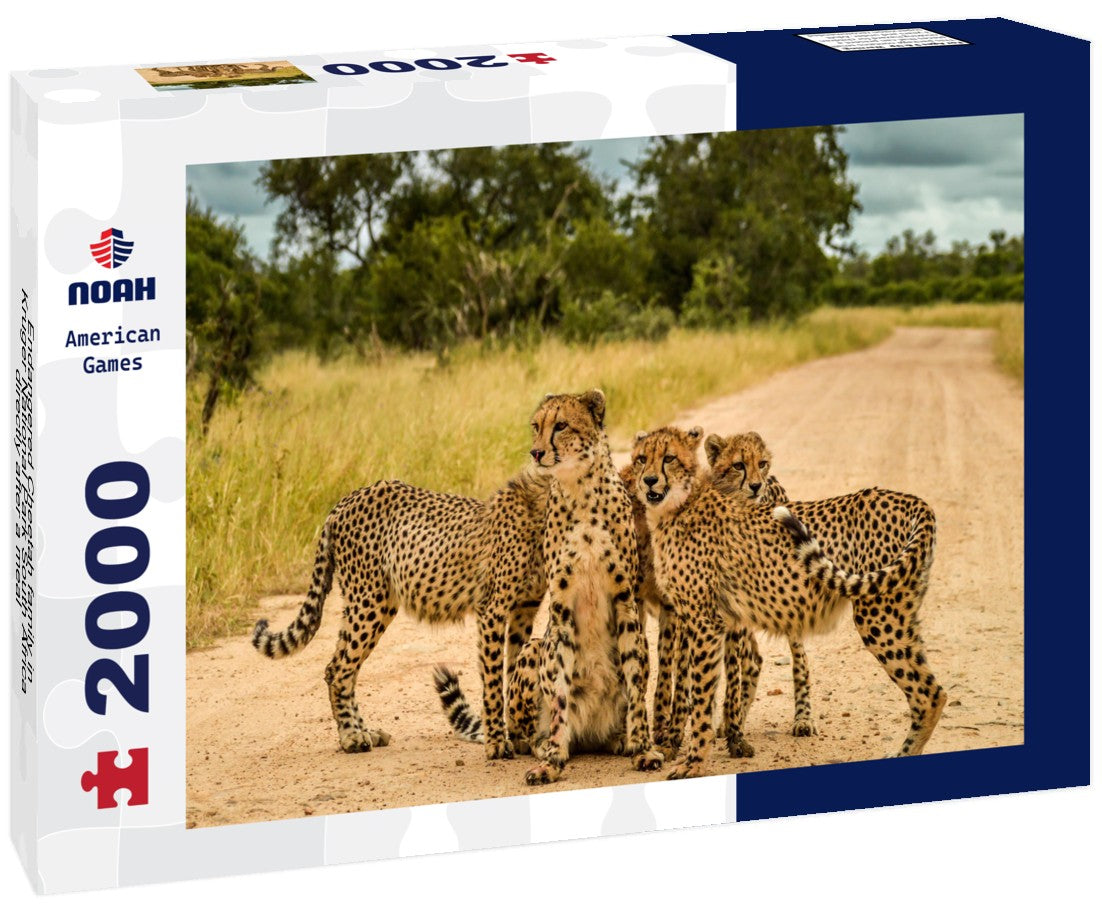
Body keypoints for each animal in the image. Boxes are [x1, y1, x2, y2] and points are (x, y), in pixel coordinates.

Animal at [252, 465, 550, 760]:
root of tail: (347, 499)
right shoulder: (492, 609)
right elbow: (493, 677)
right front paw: (498, 742)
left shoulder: (524, 609)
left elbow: (514, 669)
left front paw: (519, 737)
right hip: (370, 601)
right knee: (339, 670)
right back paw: (351, 737)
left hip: (364, 605)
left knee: (341, 667)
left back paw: (365, 731)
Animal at [435, 390, 663, 785]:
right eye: (536, 426)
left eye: (561, 425)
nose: (537, 452)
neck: (580, 490)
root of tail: (589, 735)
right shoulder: (562, 608)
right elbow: (559, 693)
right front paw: (553, 759)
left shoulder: (625, 601)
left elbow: (636, 681)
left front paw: (643, 748)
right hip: (533, 648)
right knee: (524, 732)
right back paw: (542, 745)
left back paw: (621, 739)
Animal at [632, 425, 944, 780]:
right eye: (641, 459)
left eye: (669, 458)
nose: (649, 481)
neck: (679, 503)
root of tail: (909, 499)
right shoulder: (696, 618)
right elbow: (691, 685)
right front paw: (679, 744)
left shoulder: (706, 622)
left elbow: (700, 694)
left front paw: (695, 761)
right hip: (900, 610)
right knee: (930, 688)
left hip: (878, 615)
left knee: (929, 693)